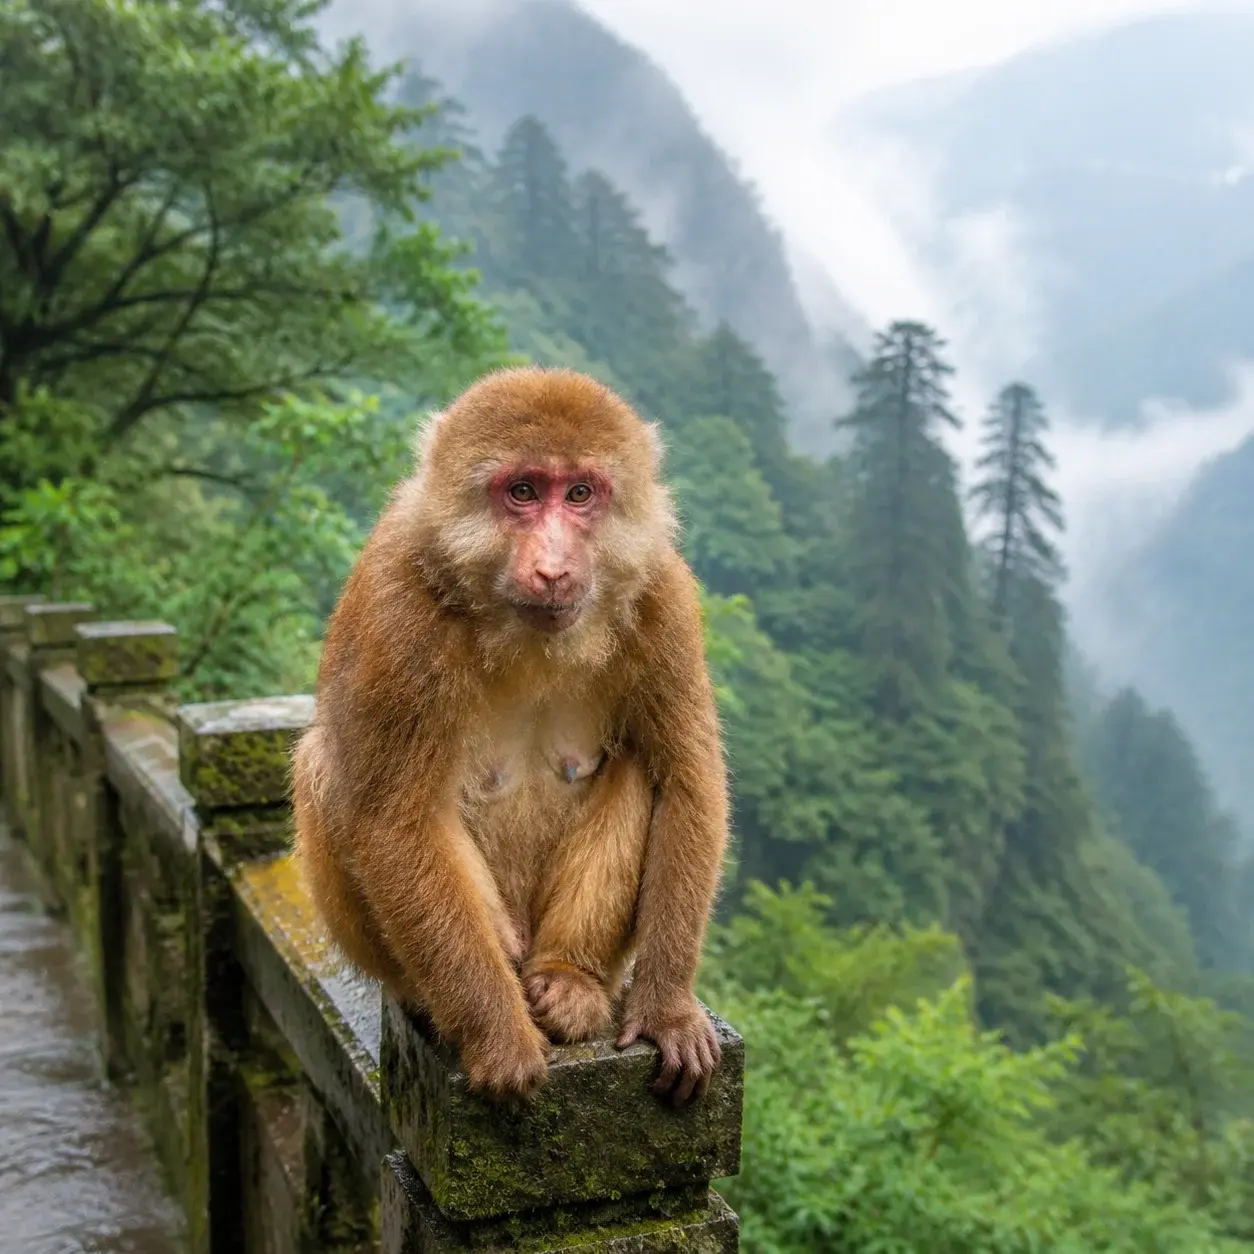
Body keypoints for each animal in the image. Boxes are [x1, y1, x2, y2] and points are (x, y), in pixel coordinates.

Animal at [290, 366, 729, 1106]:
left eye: (580, 493)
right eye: (522, 492)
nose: (553, 567)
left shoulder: (662, 598)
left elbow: (685, 782)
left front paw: (666, 1009)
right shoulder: (397, 603)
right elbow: (392, 820)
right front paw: (497, 1038)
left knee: (640, 765)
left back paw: (568, 981)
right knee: (325, 767)